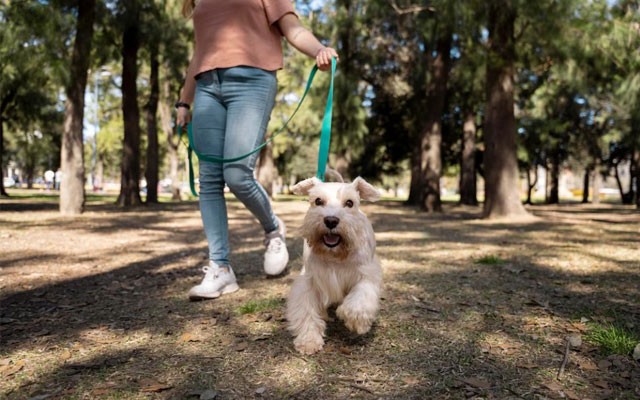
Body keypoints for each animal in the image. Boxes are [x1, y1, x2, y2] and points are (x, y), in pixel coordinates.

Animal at [288, 177, 382, 354]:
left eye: (350, 203)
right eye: (318, 201)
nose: (331, 220)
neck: (335, 255)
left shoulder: (366, 274)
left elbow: (359, 301)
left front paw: (356, 321)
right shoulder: (309, 282)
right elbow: (307, 311)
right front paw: (308, 340)